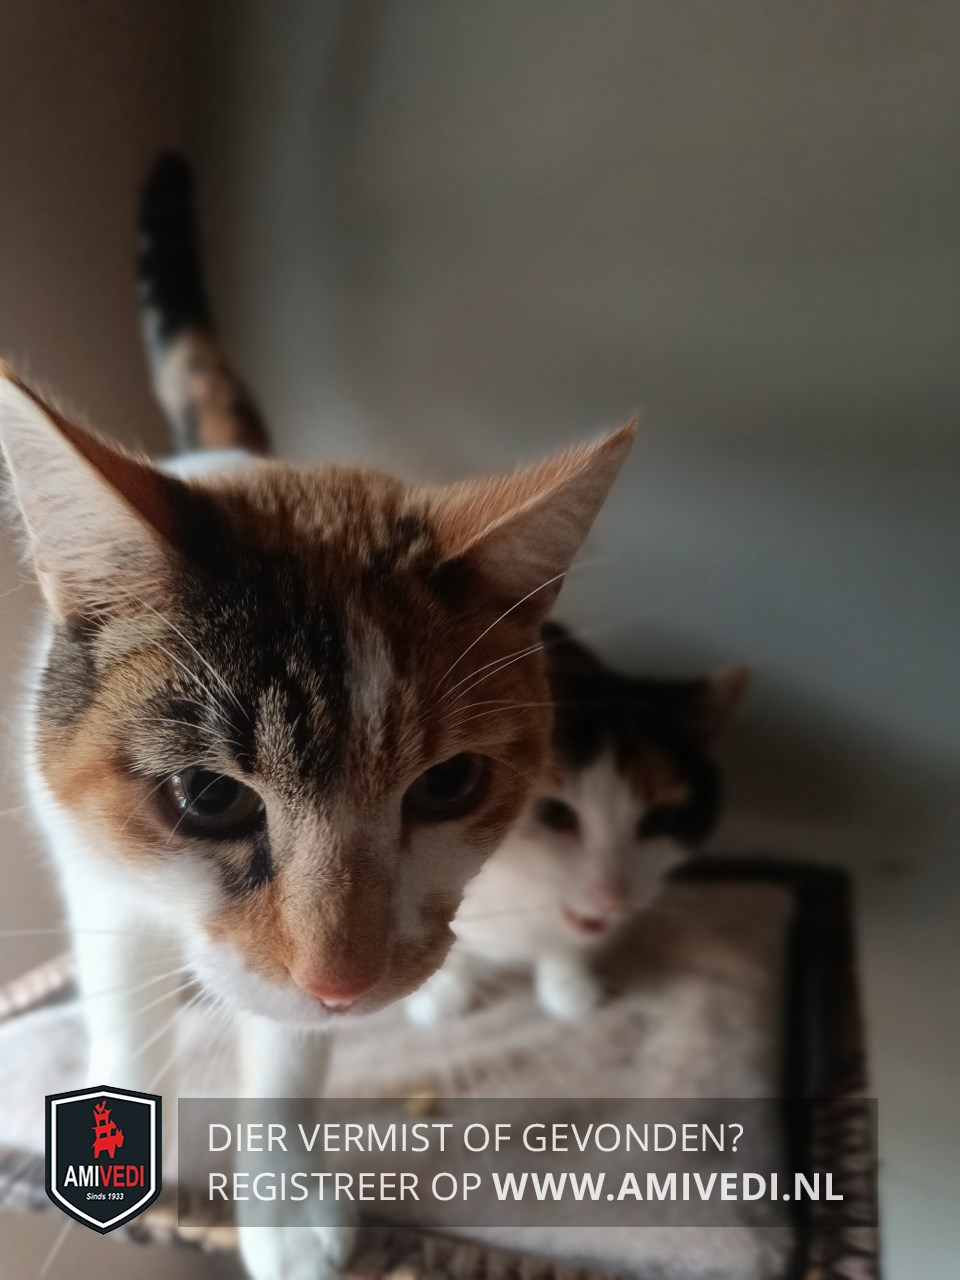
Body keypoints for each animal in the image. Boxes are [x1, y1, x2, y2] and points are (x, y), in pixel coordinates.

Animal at [0, 155, 634, 1279]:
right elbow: (127, 1018)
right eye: (206, 795)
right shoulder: (98, 872)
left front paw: (284, 1198)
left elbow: (289, 1061)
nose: (343, 981)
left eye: (448, 783)